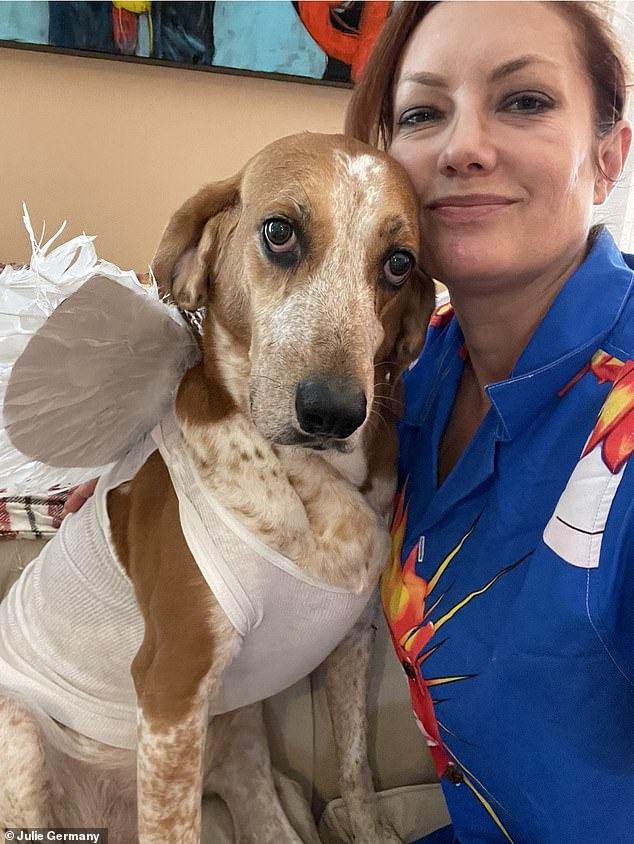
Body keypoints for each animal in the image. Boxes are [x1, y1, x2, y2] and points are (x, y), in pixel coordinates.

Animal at [0, 135, 432, 840]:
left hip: (241, 741)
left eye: (399, 263)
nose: (335, 413)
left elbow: (356, 773)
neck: (311, 485)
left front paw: (370, 828)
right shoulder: (170, 690)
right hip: (25, 734)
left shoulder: (349, 641)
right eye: (280, 232)